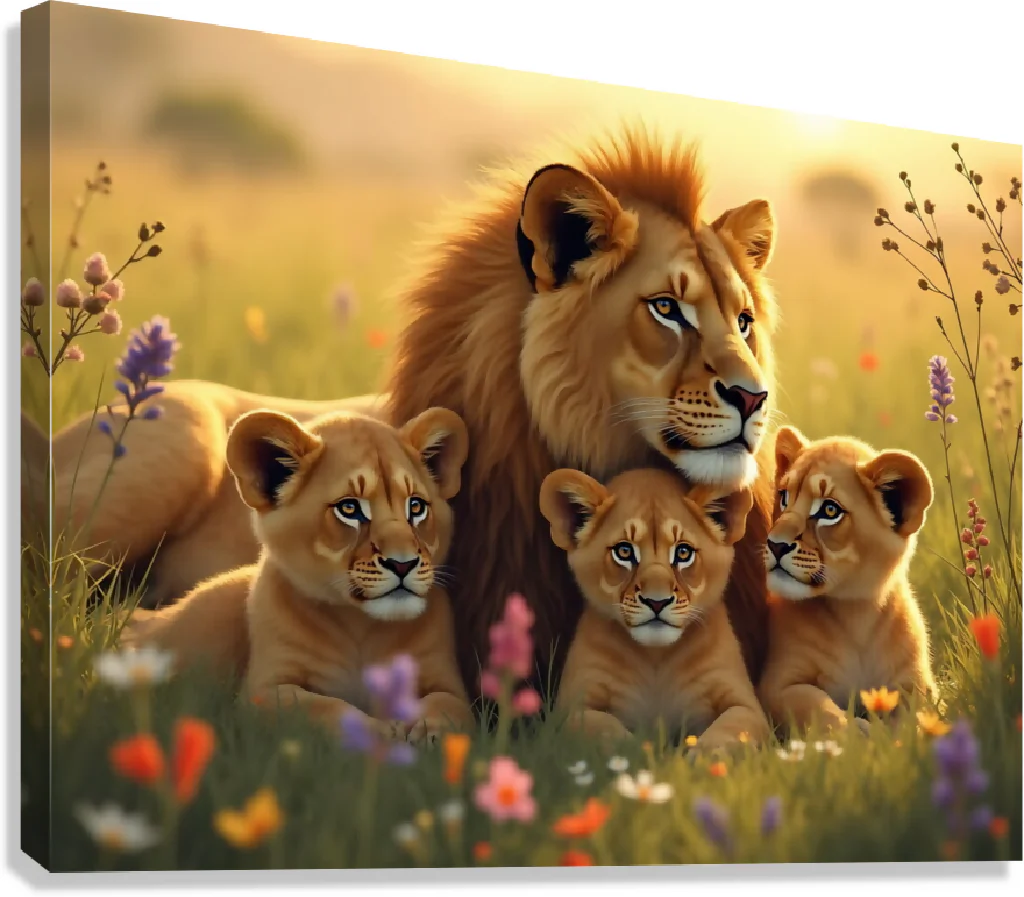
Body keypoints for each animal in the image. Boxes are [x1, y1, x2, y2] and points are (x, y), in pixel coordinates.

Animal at [125, 406, 474, 741]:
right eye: (349, 509)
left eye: (416, 507)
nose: (403, 564)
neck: (359, 625)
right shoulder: (262, 692)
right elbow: (319, 708)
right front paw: (375, 734)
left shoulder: (448, 682)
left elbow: (448, 705)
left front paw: (426, 732)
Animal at [540, 467, 771, 750]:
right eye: (624, 551)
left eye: (683, 553)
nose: (657, 602)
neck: (655, 658)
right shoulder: (568, 711)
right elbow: (602, 728)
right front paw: (641, 750)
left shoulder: (746, 704)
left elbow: (733, 729)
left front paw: (704, 753)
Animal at [757, 426, 939, 736]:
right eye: (784, 497)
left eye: (830, 510)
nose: (775, 544)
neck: (856, 615)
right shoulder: (776, 685)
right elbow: (819, 707)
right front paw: (860, 733)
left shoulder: (918, 683)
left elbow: (920, 718)